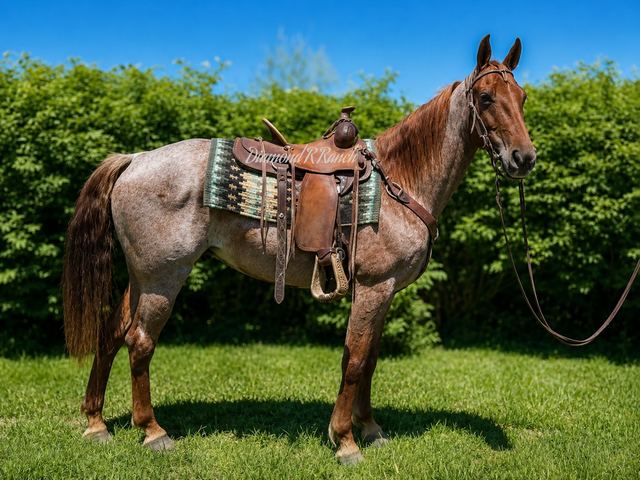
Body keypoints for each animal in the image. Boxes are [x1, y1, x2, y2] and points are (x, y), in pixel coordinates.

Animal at [63, 35, 535, 464]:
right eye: (486, 98)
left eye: (523, 97)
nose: (523, 158)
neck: (399, 181)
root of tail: (135, 158)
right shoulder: (375, 287)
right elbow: (356, 360)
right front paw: (345, 441)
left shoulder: (380, 293)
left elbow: (368, 358)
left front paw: (370, 429)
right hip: (164, 277)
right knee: (140, 342)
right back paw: (153, 432)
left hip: (141, 277)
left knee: (111, 334)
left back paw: (96, 423)